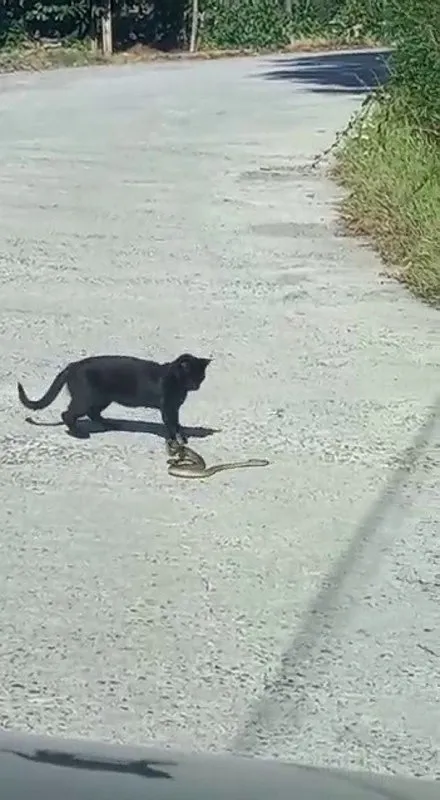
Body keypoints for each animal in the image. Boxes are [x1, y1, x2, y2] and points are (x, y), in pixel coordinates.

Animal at [19, 354, 212, 444]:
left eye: (201, 377)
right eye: (192, 376)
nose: (197, 386)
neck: (175, 380)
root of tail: (72, 365)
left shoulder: (174, 409)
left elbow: (177, 424)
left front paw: (181, 437)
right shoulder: (167, 408)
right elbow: (171, 425)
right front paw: (175, 440)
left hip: (102, 398)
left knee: (93, 413)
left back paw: (110, 424)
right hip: (86, 398)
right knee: (67, 414)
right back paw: (80, 433)